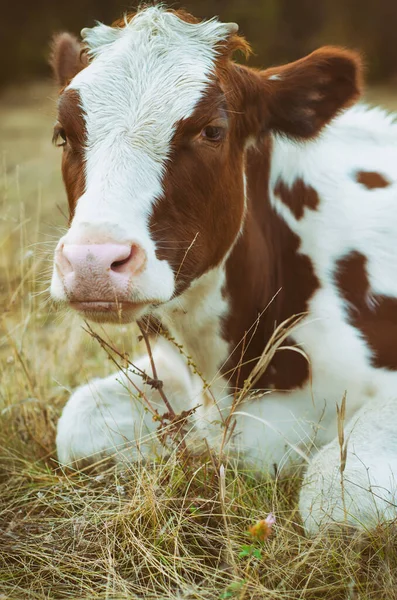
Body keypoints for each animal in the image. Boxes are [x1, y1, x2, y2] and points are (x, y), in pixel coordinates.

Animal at [50, 5, 397, 536]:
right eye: (63, 134)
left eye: (212, 130)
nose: (92, 262)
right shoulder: (169, 368)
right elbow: (76, 424)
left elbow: (335, 497)